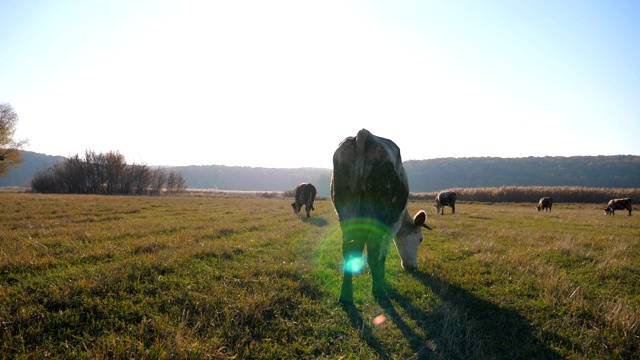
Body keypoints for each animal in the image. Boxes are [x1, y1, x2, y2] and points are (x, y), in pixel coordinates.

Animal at [332, 129, 432, 304]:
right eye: (420, 239)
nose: (413, 266)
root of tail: (364, 134)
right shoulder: (394, 223)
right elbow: (383, 252)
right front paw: (383, 279)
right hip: (379, 212)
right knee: (373, 250)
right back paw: (378, 290)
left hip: (345, 209)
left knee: (349, 248)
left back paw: (345, 295)